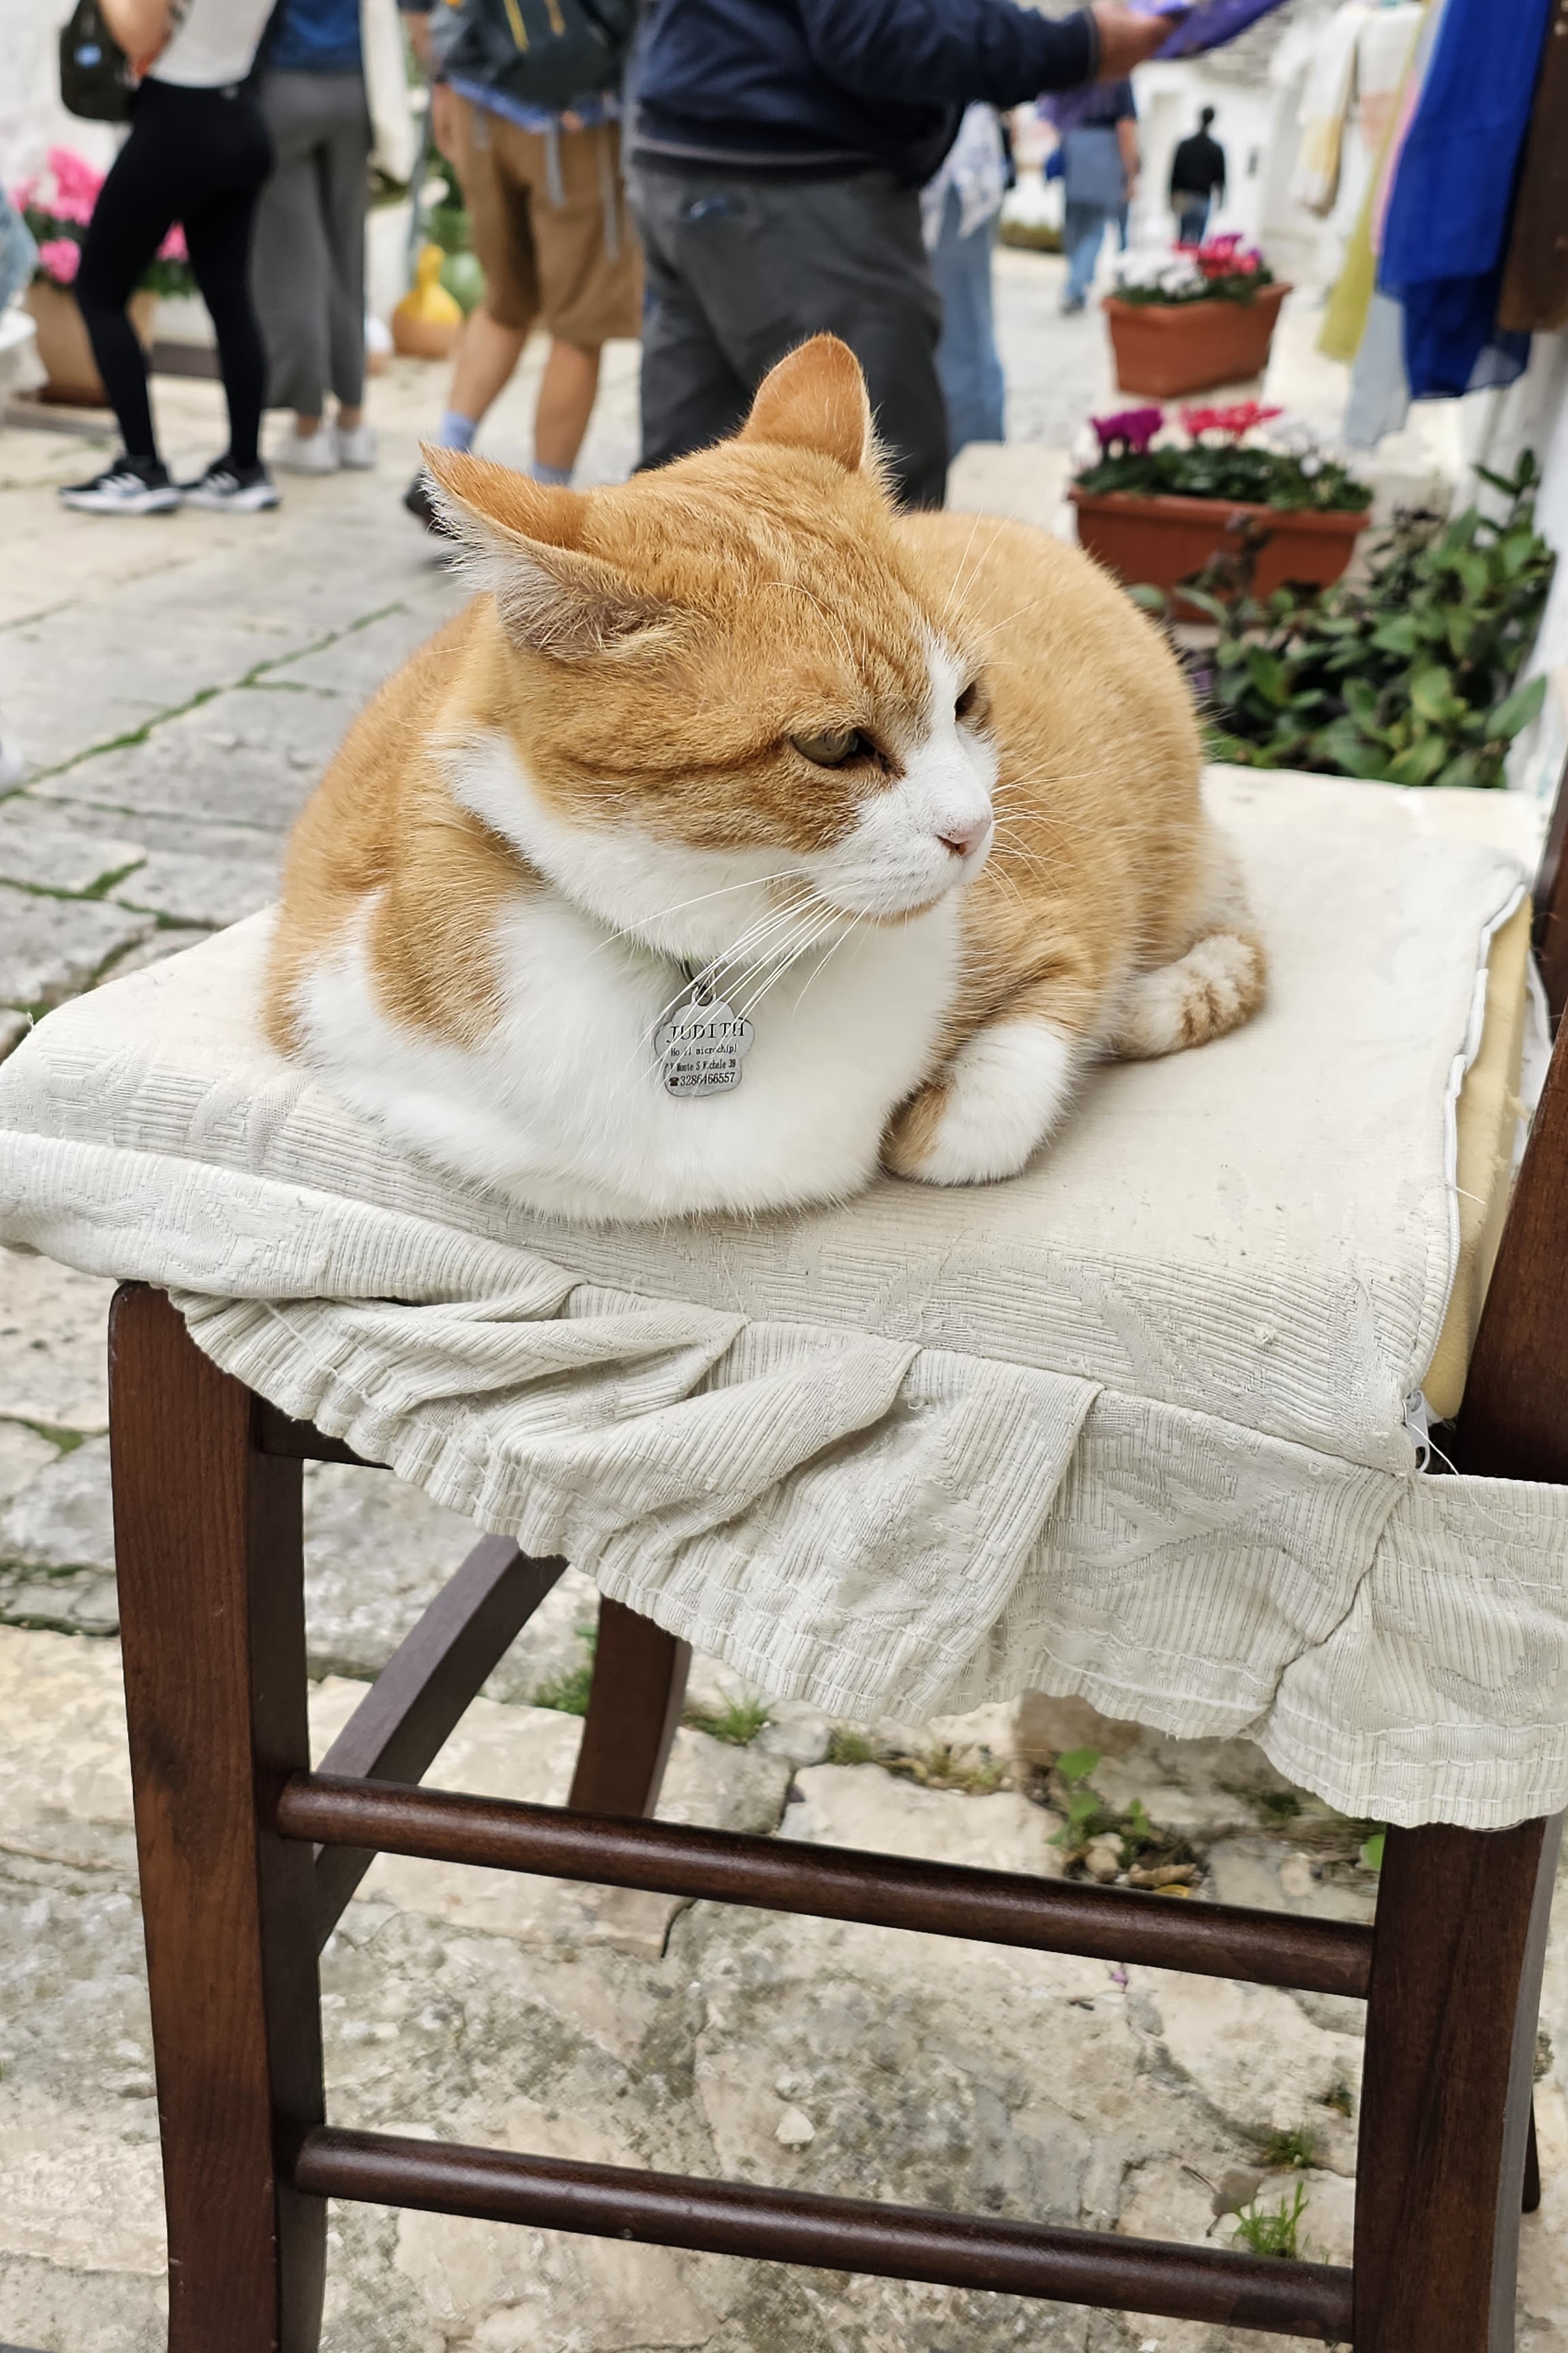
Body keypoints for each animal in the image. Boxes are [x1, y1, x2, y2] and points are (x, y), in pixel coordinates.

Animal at [266, 341, 1262, 1223]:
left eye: (967, 700)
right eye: (832, 746)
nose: (975, 830)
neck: (735, 956)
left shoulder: (1073, 913)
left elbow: (983, 1112)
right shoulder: (341, 1019)